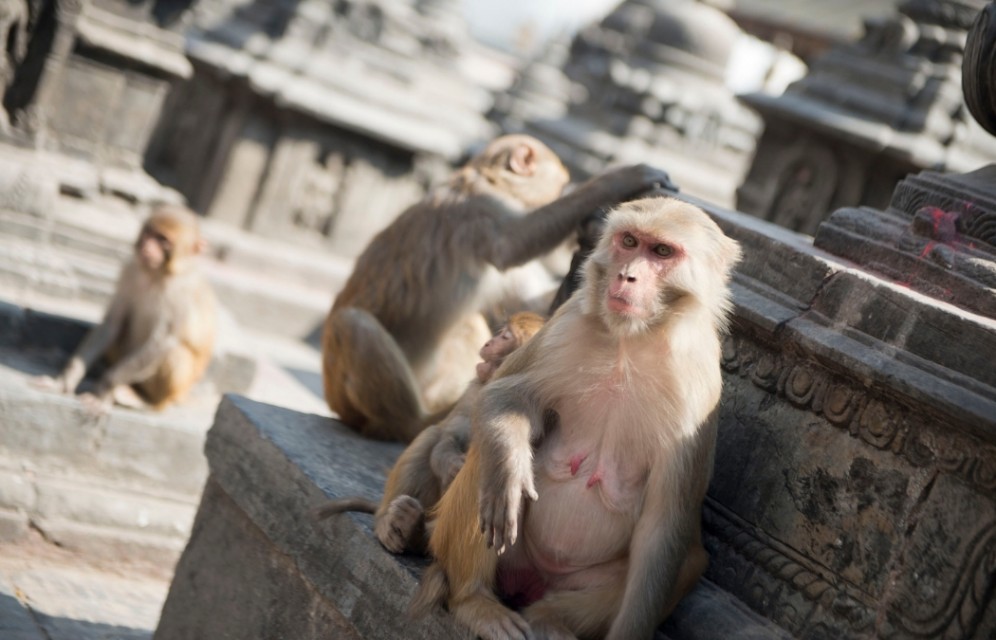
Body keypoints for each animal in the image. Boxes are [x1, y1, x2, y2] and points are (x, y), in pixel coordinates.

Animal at [314, 312, 548, 552]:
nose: (488, 342)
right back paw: (389, 523)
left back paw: (413, 532)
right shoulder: (478, 388)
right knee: (431, 435)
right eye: (500, 333)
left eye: (505, 337)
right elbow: (452, 431)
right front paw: (449, 462)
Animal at [322, 134, 672, 444]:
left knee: (468, 322)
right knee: (351, 323)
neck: (488, 179)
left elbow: (529, 299)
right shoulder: (479, 206)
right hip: (347, 398)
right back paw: (414, 423)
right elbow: (510, 245)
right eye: (560, 187)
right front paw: (624, 177)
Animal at [408, 196, 744, 640]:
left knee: (688, 561)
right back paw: (474, 599)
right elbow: (502, 395)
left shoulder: (701, 388)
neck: (631, 341)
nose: (627, 275)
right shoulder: (565, 325)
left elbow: (664, 525)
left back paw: (550, 620)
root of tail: (531, 582)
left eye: (662, 252)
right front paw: (512, 471)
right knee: (487, 462)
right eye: (629, 241)